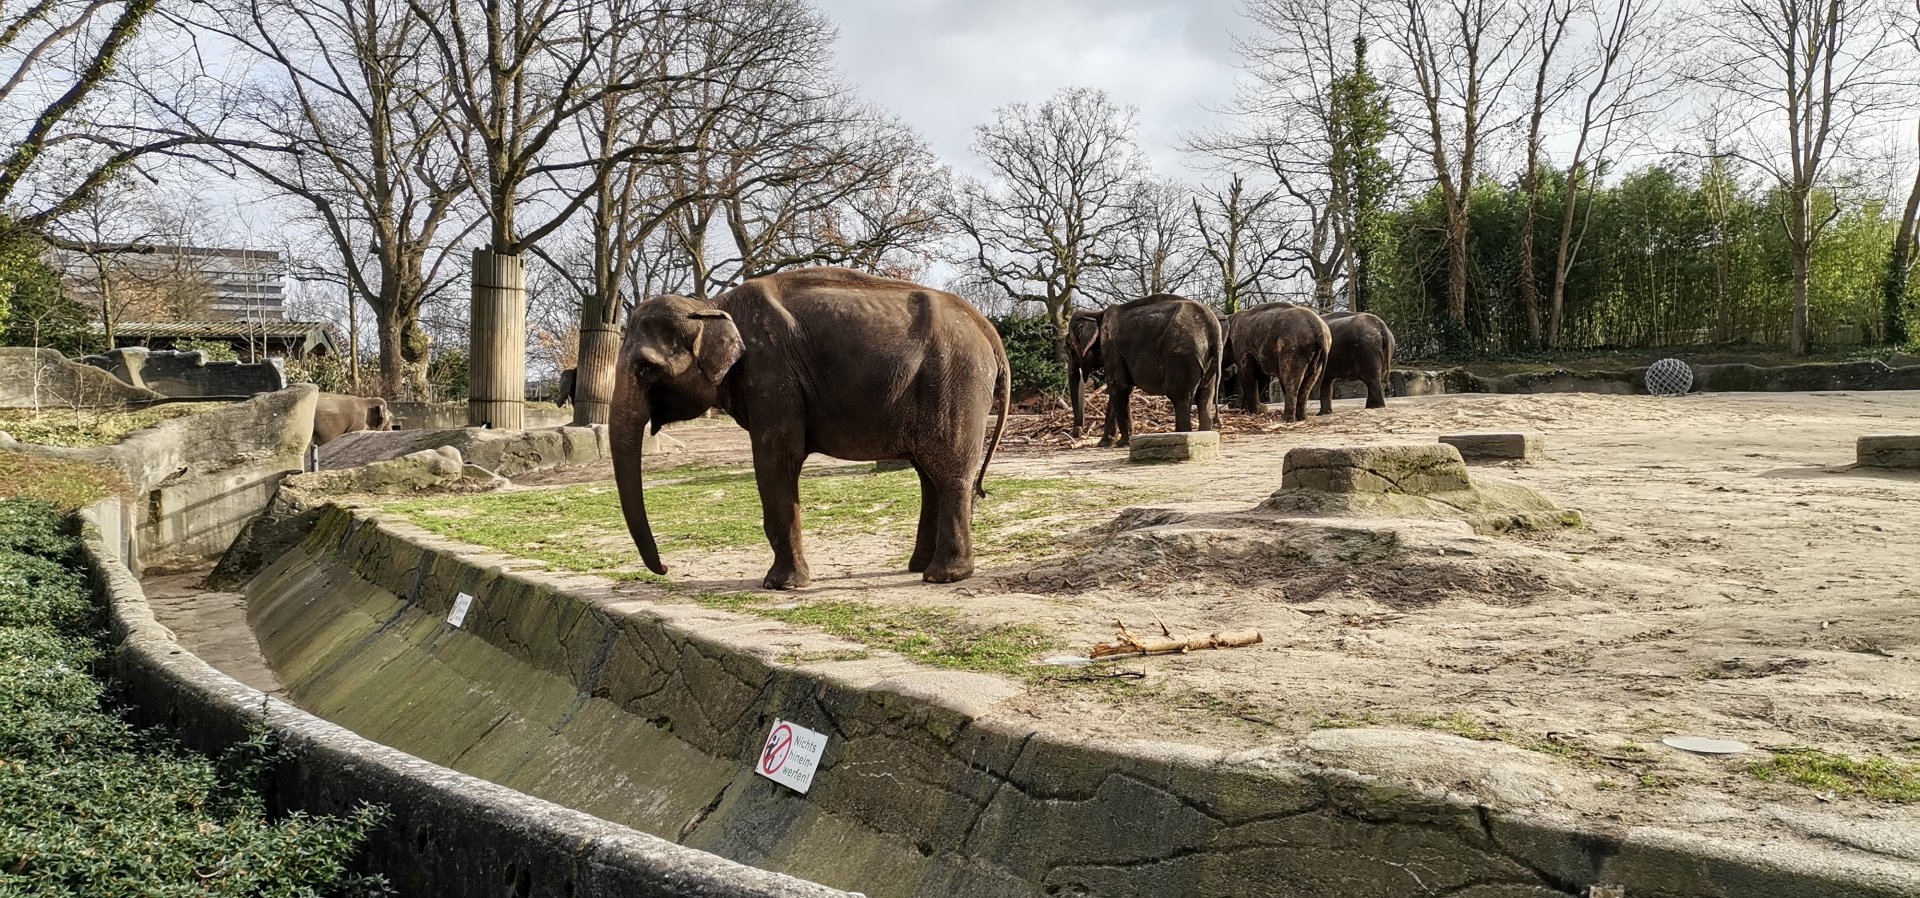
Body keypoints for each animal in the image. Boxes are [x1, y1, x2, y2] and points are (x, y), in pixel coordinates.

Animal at [611, 267, 1011, 589]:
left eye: (645, 369)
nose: (666, 569)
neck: (712, 304)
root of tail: (987, 329)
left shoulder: (771, 372)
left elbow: (776, 460)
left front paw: (780, 586)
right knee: (929, 474)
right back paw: (919, 568)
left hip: (953, 379)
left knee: (948, 471)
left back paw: (943, 576)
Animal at [1067, 294, 1222, 447]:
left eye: (1069, 348)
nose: (1077, 433)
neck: (1096, 313)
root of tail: (1214, 328)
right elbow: (1120, 390)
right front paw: (1106, 443)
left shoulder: (1111, 347)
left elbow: (1119, 386)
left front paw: (1123, 442)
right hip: (1207, 361)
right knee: (1204, 397)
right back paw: (1205, 435)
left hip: (1182, 357)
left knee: (1180, 396)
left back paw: (1181, 435)